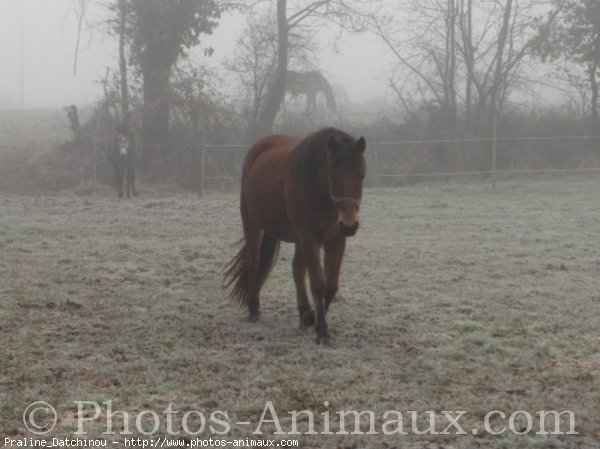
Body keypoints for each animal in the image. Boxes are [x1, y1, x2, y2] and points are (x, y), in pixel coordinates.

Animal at [223, 128, 366, 344]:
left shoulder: (336, 239)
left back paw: (304, 313)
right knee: (254, 262)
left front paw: (312, 318)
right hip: (252, 223)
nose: (349, 224)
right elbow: (318, 284)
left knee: (297, 268)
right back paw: (254, 309)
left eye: (361, 176)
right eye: (332, 176)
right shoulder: (309, 238)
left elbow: (331, 286)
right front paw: (322, 331)